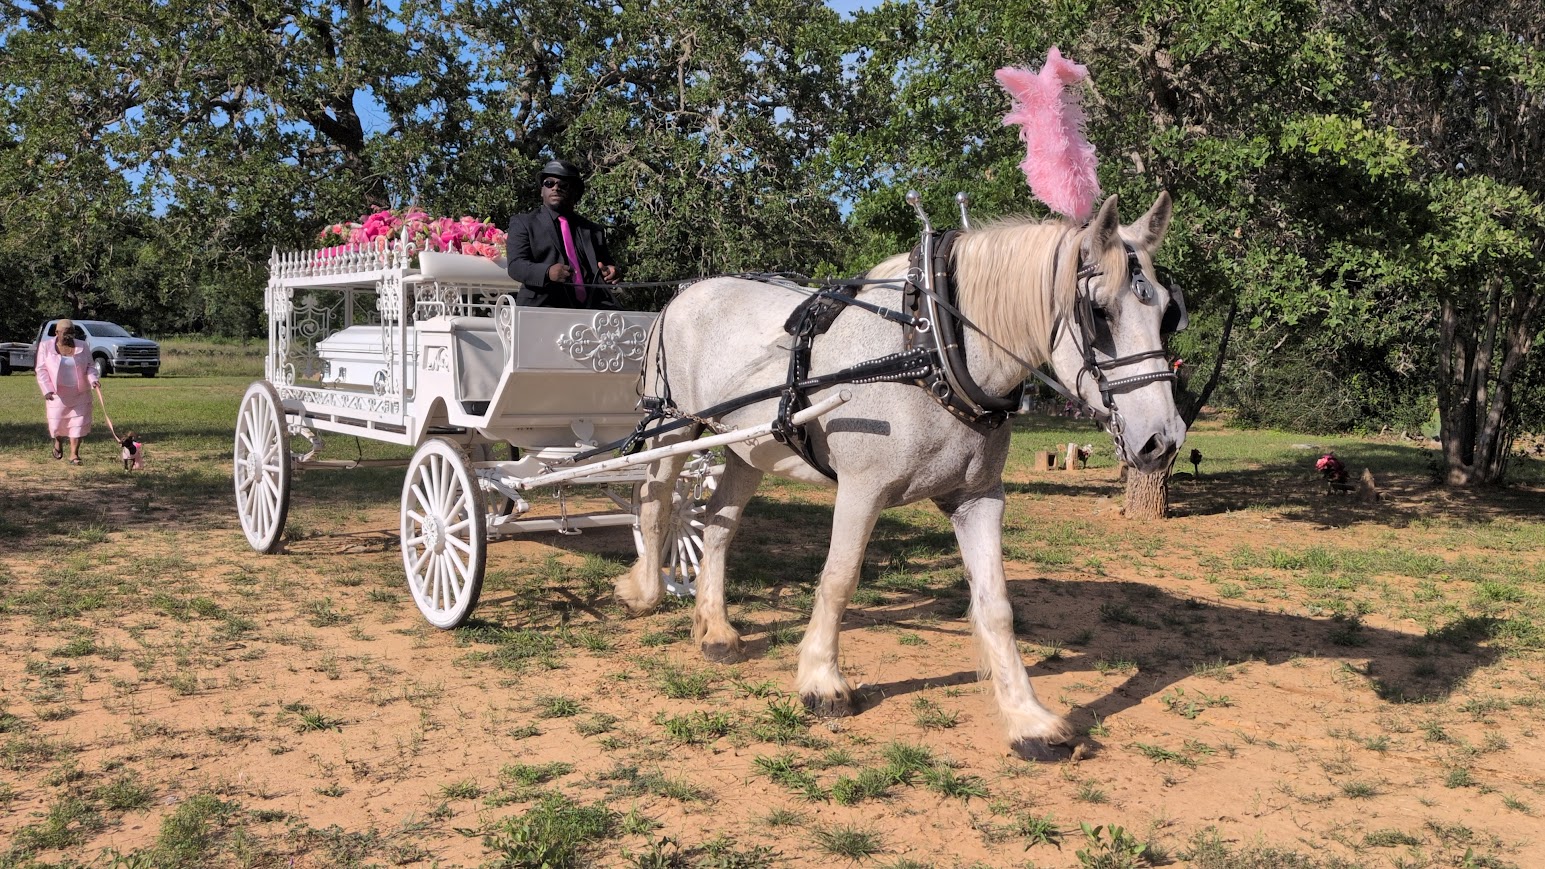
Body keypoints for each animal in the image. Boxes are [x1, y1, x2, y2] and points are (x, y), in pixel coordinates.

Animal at [617, 192, 1186, 754]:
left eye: (1166, 311)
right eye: (1099, 312)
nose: (1163, 439)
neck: (930, 349)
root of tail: (685, 293)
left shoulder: (978, 498)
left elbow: (996, 604)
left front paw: (1028, 717)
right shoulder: (861, 491)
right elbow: (839, 578)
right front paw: (822, 681)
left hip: (744, 449)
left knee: (717, 525)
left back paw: (715, 629)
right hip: (671, 426)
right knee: (656, 503)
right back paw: (645, 589)